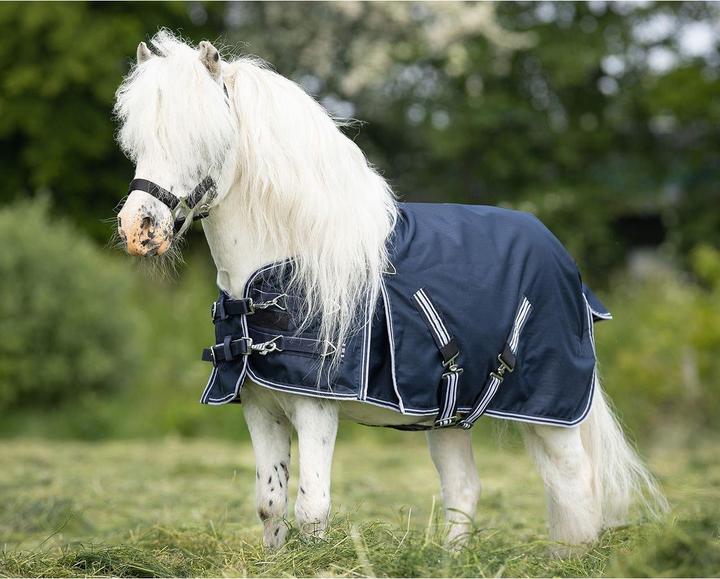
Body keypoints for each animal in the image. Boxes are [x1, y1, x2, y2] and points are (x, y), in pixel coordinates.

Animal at [114, 32, 666, 553]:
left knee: (575, 486)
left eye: (204, 138)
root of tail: (565, 263)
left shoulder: (316, 406)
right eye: (137, 141)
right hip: (451, 417)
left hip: (555, 415)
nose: (139, 228)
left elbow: (313, 508)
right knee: (465, 490)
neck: (289, 264)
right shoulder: (258, 404)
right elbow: (270, 505)